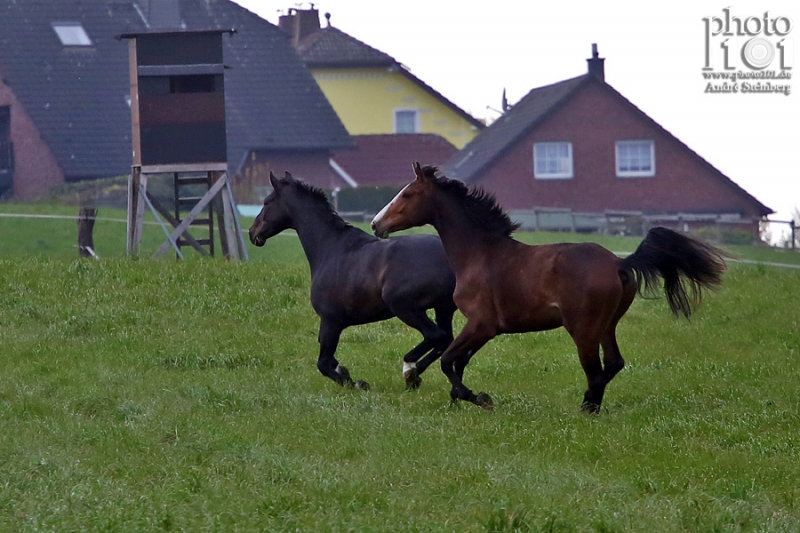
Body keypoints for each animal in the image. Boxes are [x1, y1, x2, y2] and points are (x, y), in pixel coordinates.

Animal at [247, 171, 460, 390]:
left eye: (266, 201)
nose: (252, 233)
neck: (331, 247)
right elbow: (330, 361)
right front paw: (346, 373)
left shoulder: (331, 321)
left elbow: (323, 363)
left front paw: (356, 383)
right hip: (442, 310)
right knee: (446, 340)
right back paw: (414, 374)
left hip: (404, 307)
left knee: (436, 336)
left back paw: (410, 370)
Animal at [372, 162, 728, 412]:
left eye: (406, 195)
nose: (377, 224)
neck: (481, 254)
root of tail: (618, 263)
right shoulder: (487, 329)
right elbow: (457, 360)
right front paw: (454, 395)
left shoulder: (481, 324)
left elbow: (448, 360)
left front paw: (477, 397)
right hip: (607, 325)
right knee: (613, 363)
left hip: (583, 329)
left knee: (595, 371)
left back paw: (587, 408)